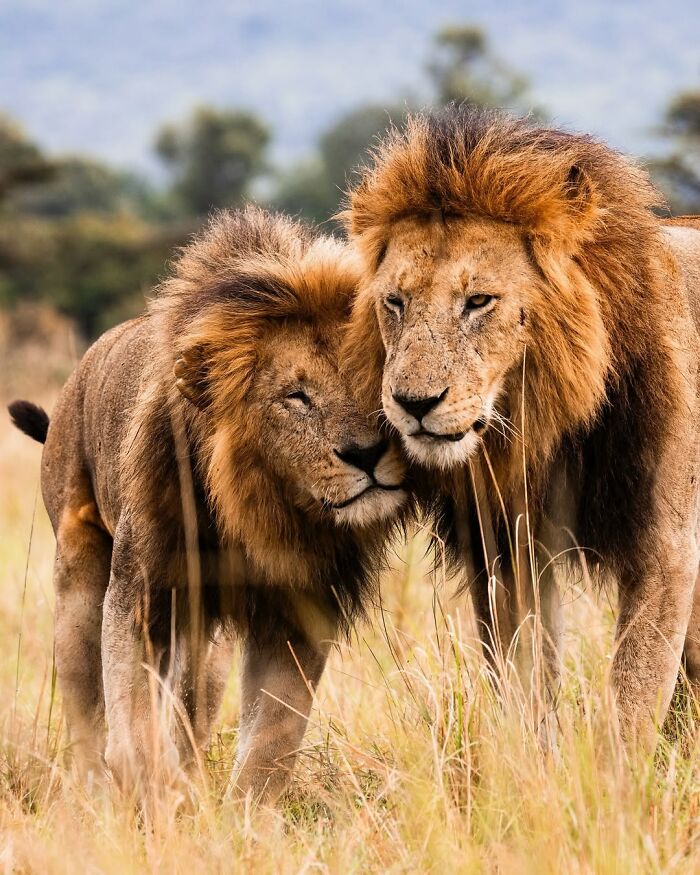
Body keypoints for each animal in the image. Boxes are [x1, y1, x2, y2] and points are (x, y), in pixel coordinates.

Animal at [8, 206, 408, 802]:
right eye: (296, 397)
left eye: (373, 377)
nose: (366, 453)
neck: (259, 505)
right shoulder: (141, 591)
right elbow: (133, 726)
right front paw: (156, 788)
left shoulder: (300, 609)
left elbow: (271, 742)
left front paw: (243, 816)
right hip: (78, 579)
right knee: (87, 709)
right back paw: (96, 796)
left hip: (208, 642)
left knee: (192, 707)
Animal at [342, 104, 700, 748]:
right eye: (396, 302)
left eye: (479, 301)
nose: (413, 403)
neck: (545, 424)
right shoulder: (510, 553)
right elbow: (524, 684)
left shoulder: (666, 547)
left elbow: (631, 701)